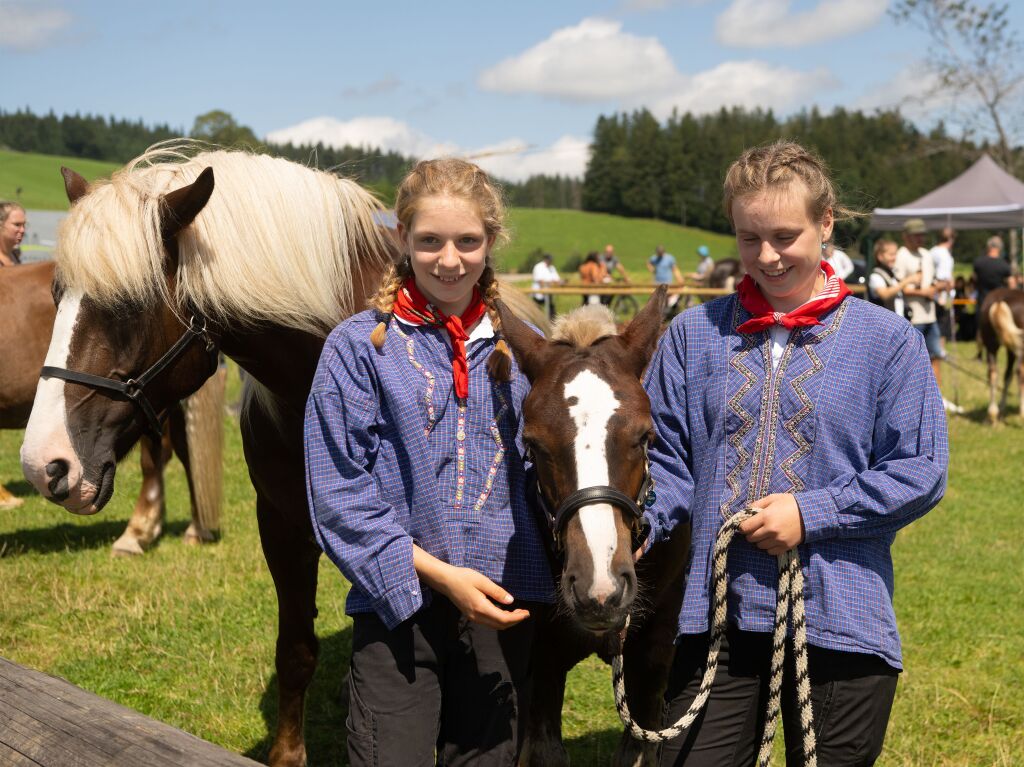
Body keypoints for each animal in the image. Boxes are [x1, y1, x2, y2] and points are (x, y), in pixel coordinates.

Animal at [974, 284, 1024, 421]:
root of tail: (999, 302)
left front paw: (1002, 407)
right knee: (1020, 371)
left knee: (992, 372)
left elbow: (1007, 375)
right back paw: (1021, 412)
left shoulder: (1010, 348)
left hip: (991, 345)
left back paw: (992, 413)